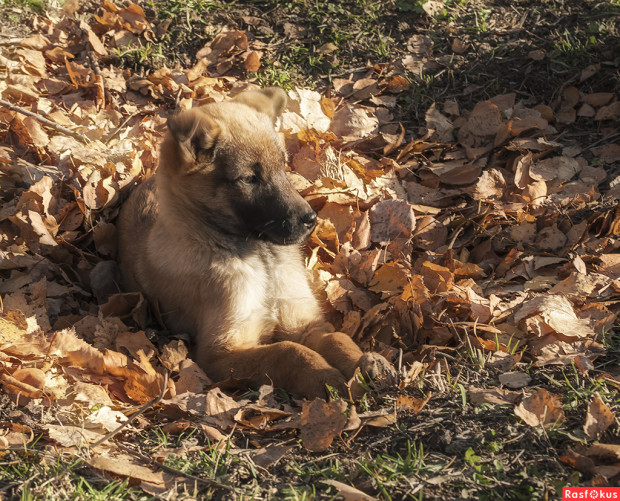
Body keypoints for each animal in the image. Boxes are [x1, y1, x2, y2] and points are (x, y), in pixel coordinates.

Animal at [118, 87, 394, 398]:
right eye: (249, 178)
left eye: (283, 165)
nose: (310, 219)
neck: (261, 259)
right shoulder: (221, 352)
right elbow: (287, 352)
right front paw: (327, 380)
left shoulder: (305, 322)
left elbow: (337, 339)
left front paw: (365, 364)